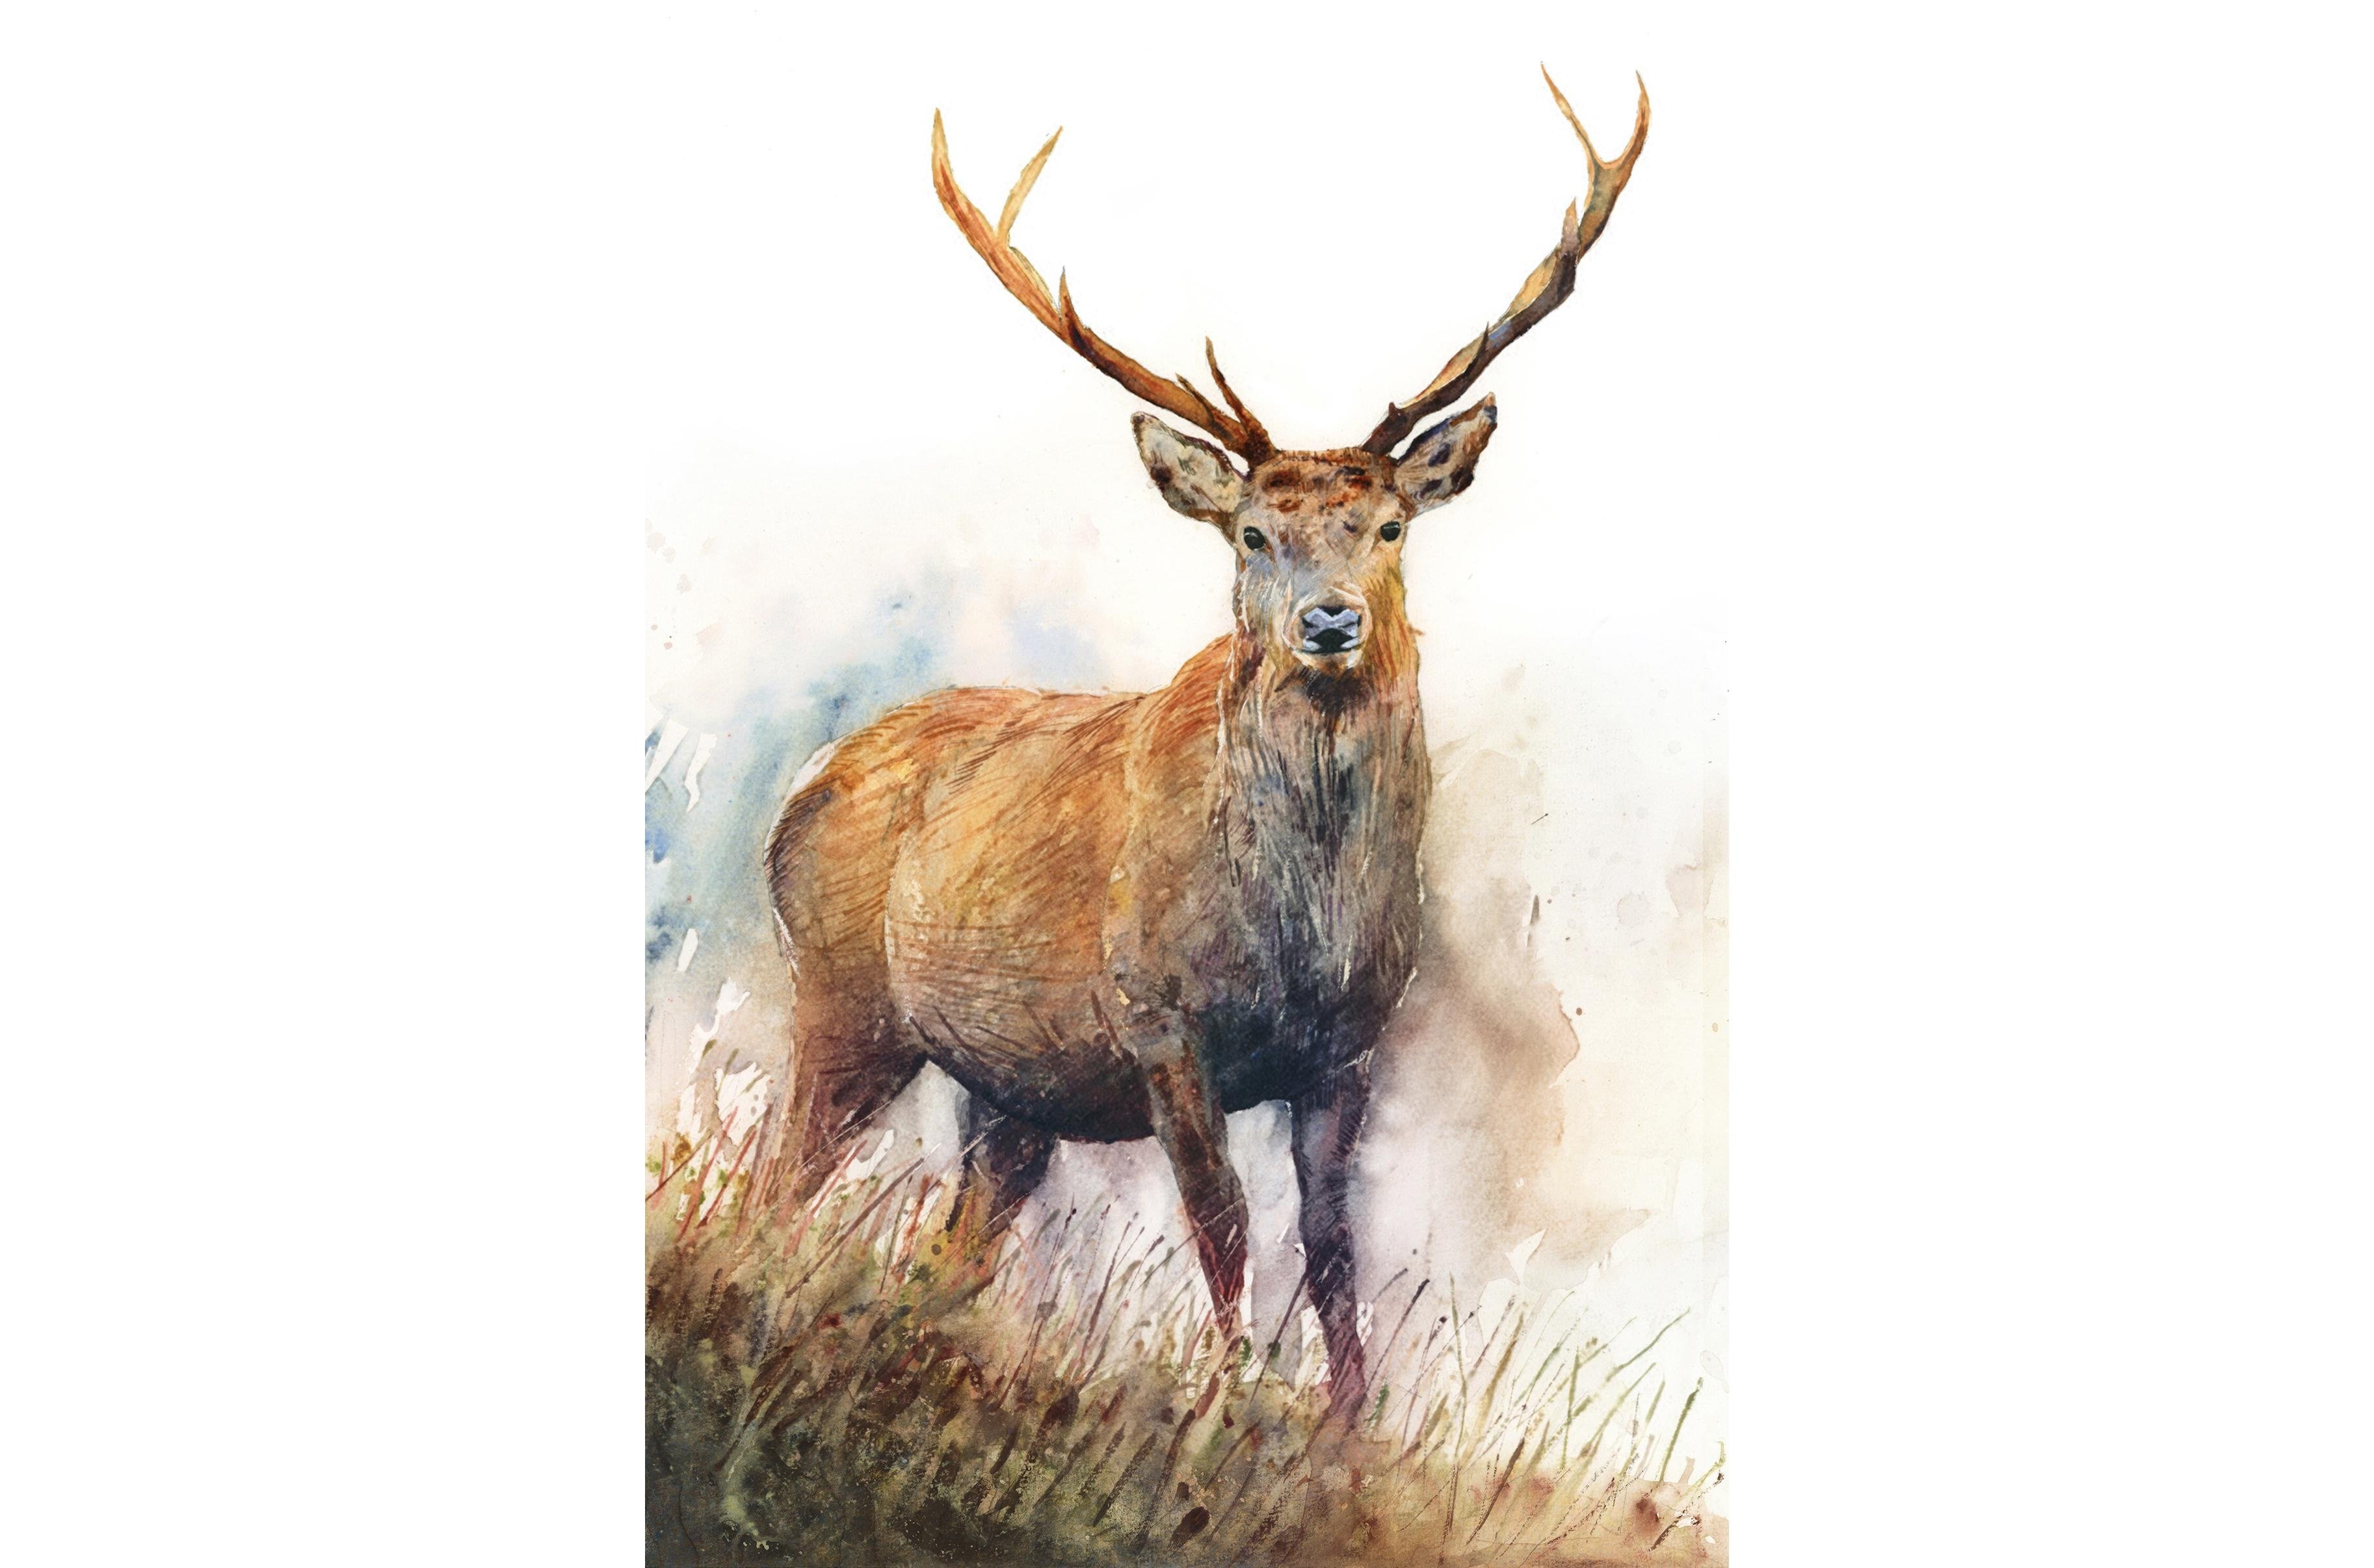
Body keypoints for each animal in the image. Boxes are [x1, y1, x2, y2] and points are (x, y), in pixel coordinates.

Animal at [760, 68, 1647, 1418]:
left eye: (1389, 525)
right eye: (1252, 535)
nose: (1328, 620)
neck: (1304, 933)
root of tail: (798, 787)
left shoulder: (1348, 1050)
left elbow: (1333, 1244)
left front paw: (1348, 1421)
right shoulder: (1159, 1022)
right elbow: (1223, 1224)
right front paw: (1227, 1396)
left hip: (1006, 1092)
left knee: (948, 1248)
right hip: (843, 995)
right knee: (769, 1178)